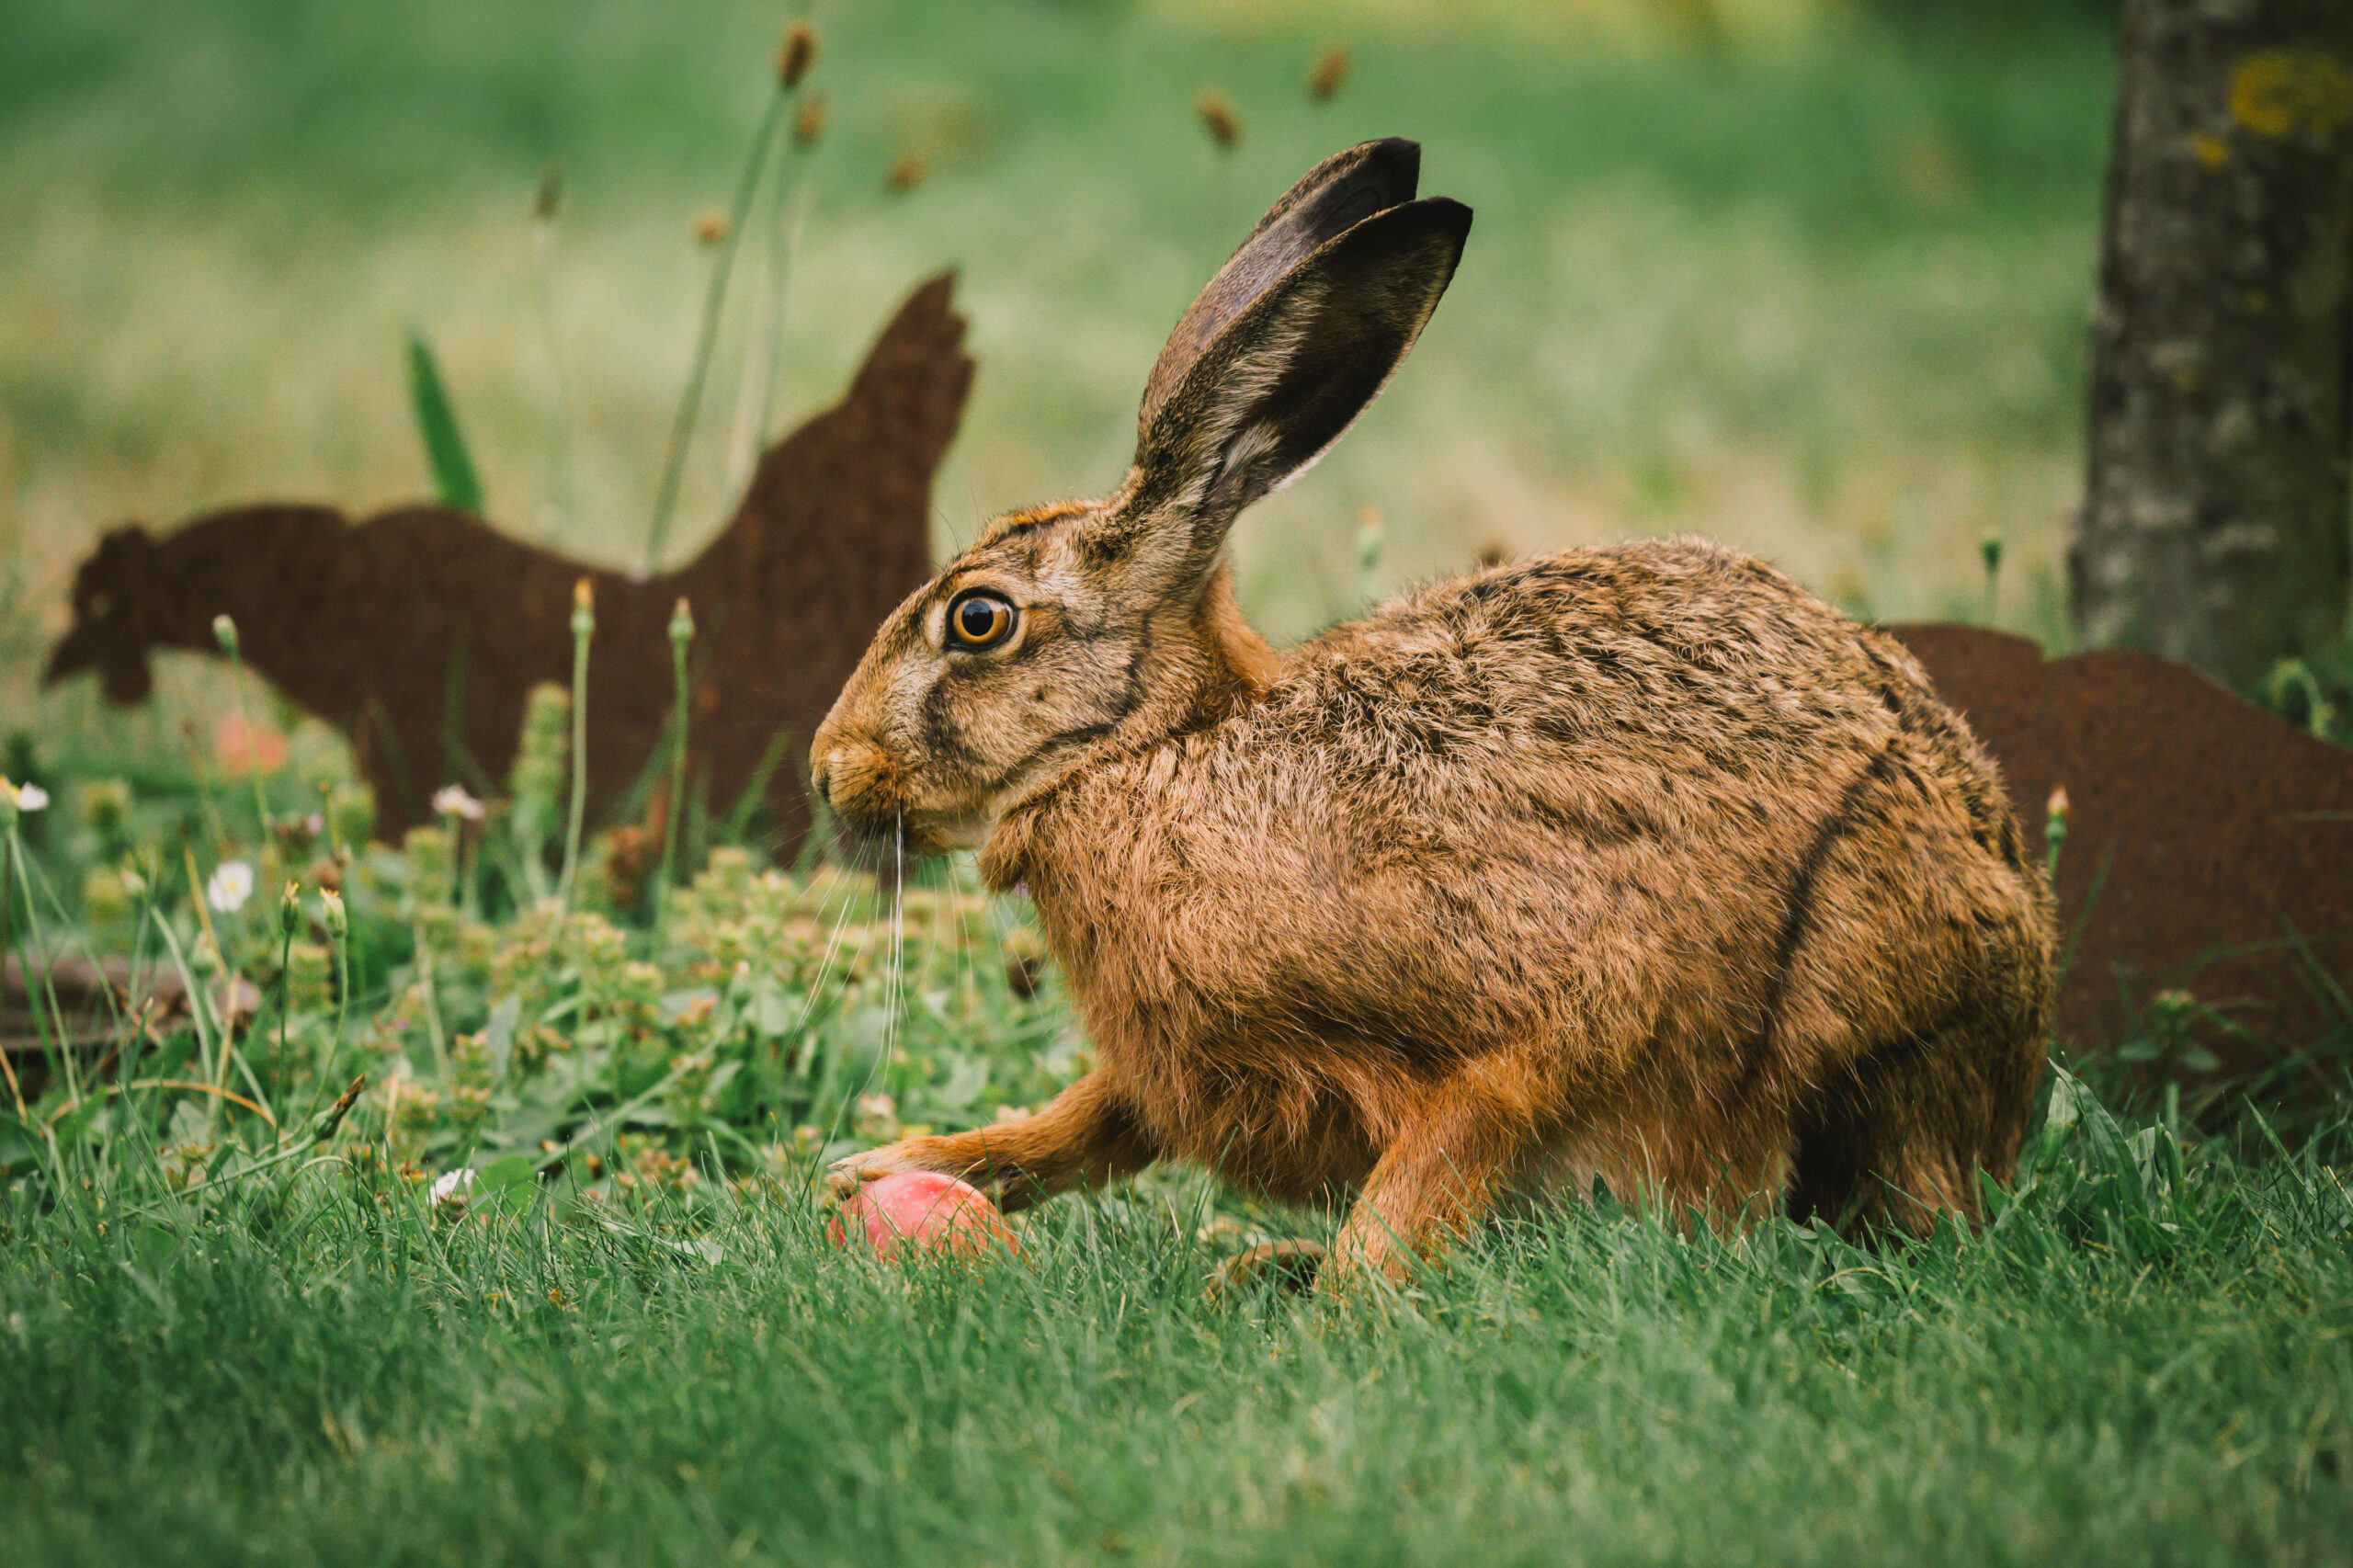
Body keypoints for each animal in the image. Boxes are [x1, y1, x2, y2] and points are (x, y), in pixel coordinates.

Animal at [811, 138, 2054, 1290]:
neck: (1157, 754)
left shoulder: (1531, 1029)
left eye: (977, 620)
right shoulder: (1180, 1067)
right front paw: (886, 1167)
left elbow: (1427, 1172)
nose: (828, 766)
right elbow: (1096, 1115)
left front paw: (1341, 1313)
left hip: (1859, 1012)